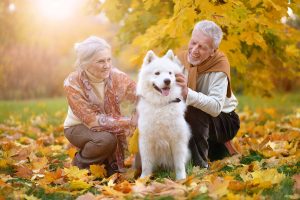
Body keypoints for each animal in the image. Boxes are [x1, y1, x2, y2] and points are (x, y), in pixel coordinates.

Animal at [136, 49, 190, 180]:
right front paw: (143, 179)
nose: (167, 81)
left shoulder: (177, 139)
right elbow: (146, 164)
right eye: (157, 73)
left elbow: (179, 163)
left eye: (170, 73)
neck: (161, 105)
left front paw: (181, 179)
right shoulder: (146, 140)